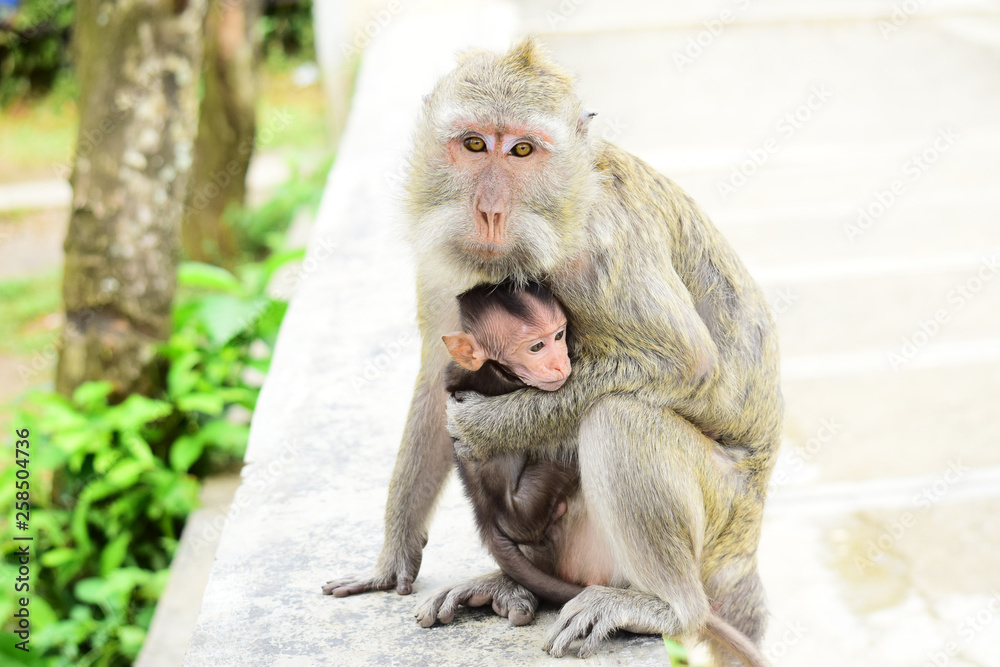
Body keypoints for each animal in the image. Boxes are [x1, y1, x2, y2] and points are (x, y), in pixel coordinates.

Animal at [442, 281, 769, 667]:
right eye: (536, 346)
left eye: (559, 335)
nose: (561, 362)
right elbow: (685, 365)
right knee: (614, 412)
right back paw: (675, 609)